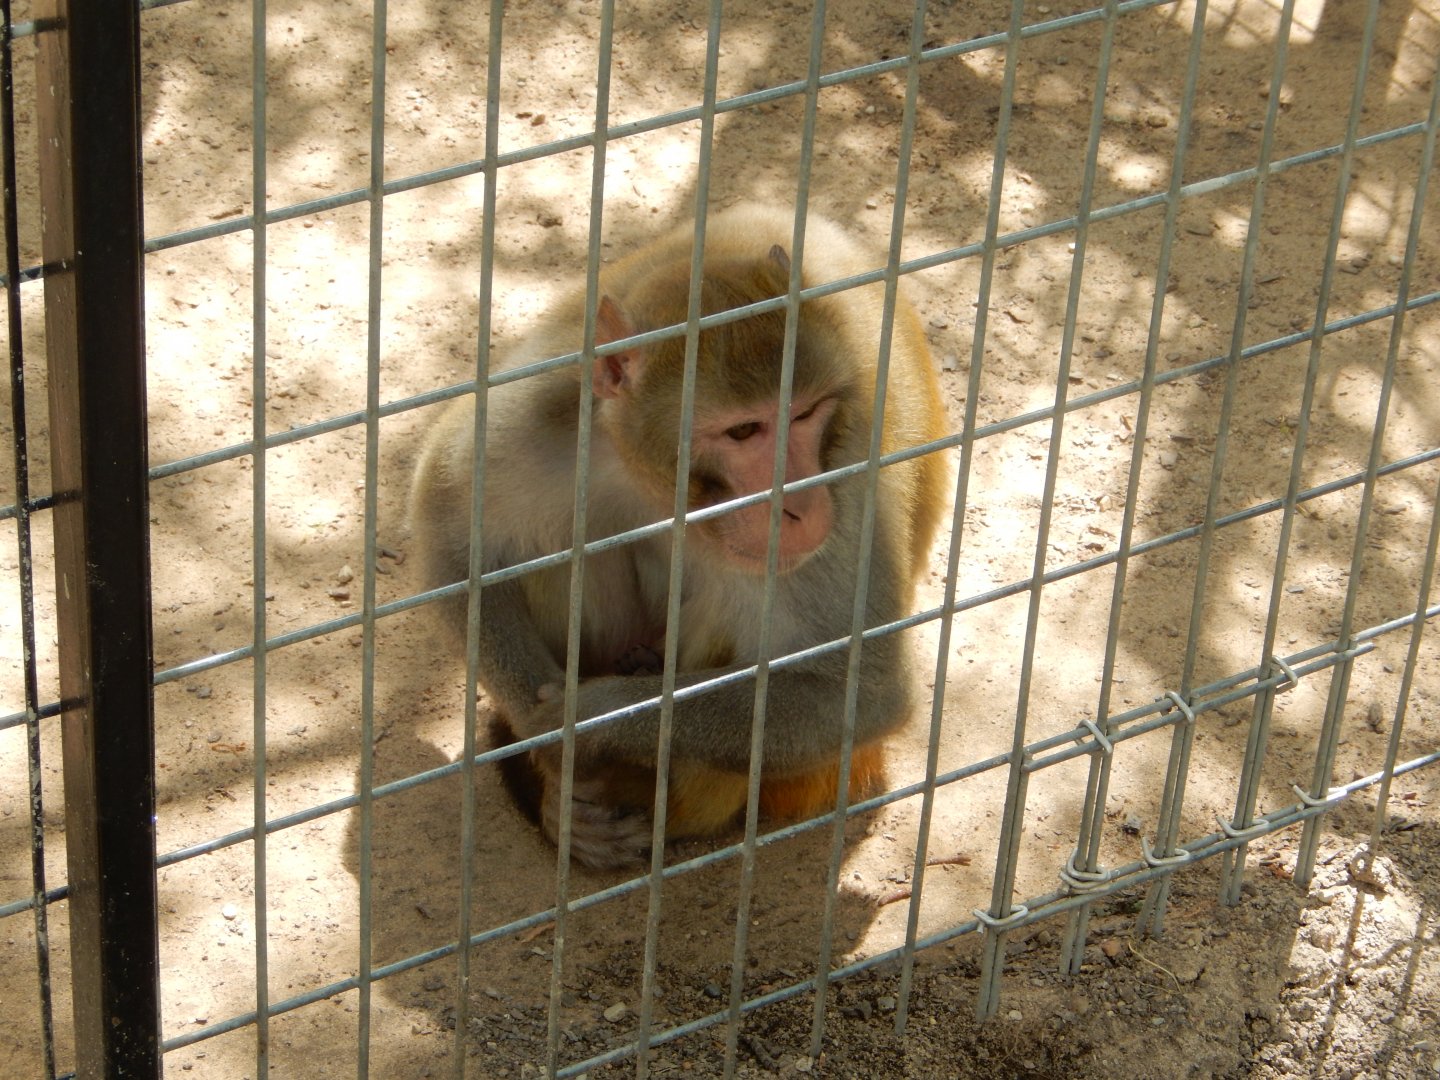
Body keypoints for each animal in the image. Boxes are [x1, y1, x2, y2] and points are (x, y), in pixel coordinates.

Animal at [410, 203, 949, 868]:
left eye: (804, 413)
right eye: (744, 430)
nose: (799, 503)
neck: (664, 488)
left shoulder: (845, 474)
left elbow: (857, 693)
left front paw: (581, 721)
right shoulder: (545, 411)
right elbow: (451, 537)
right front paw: (543, 737)